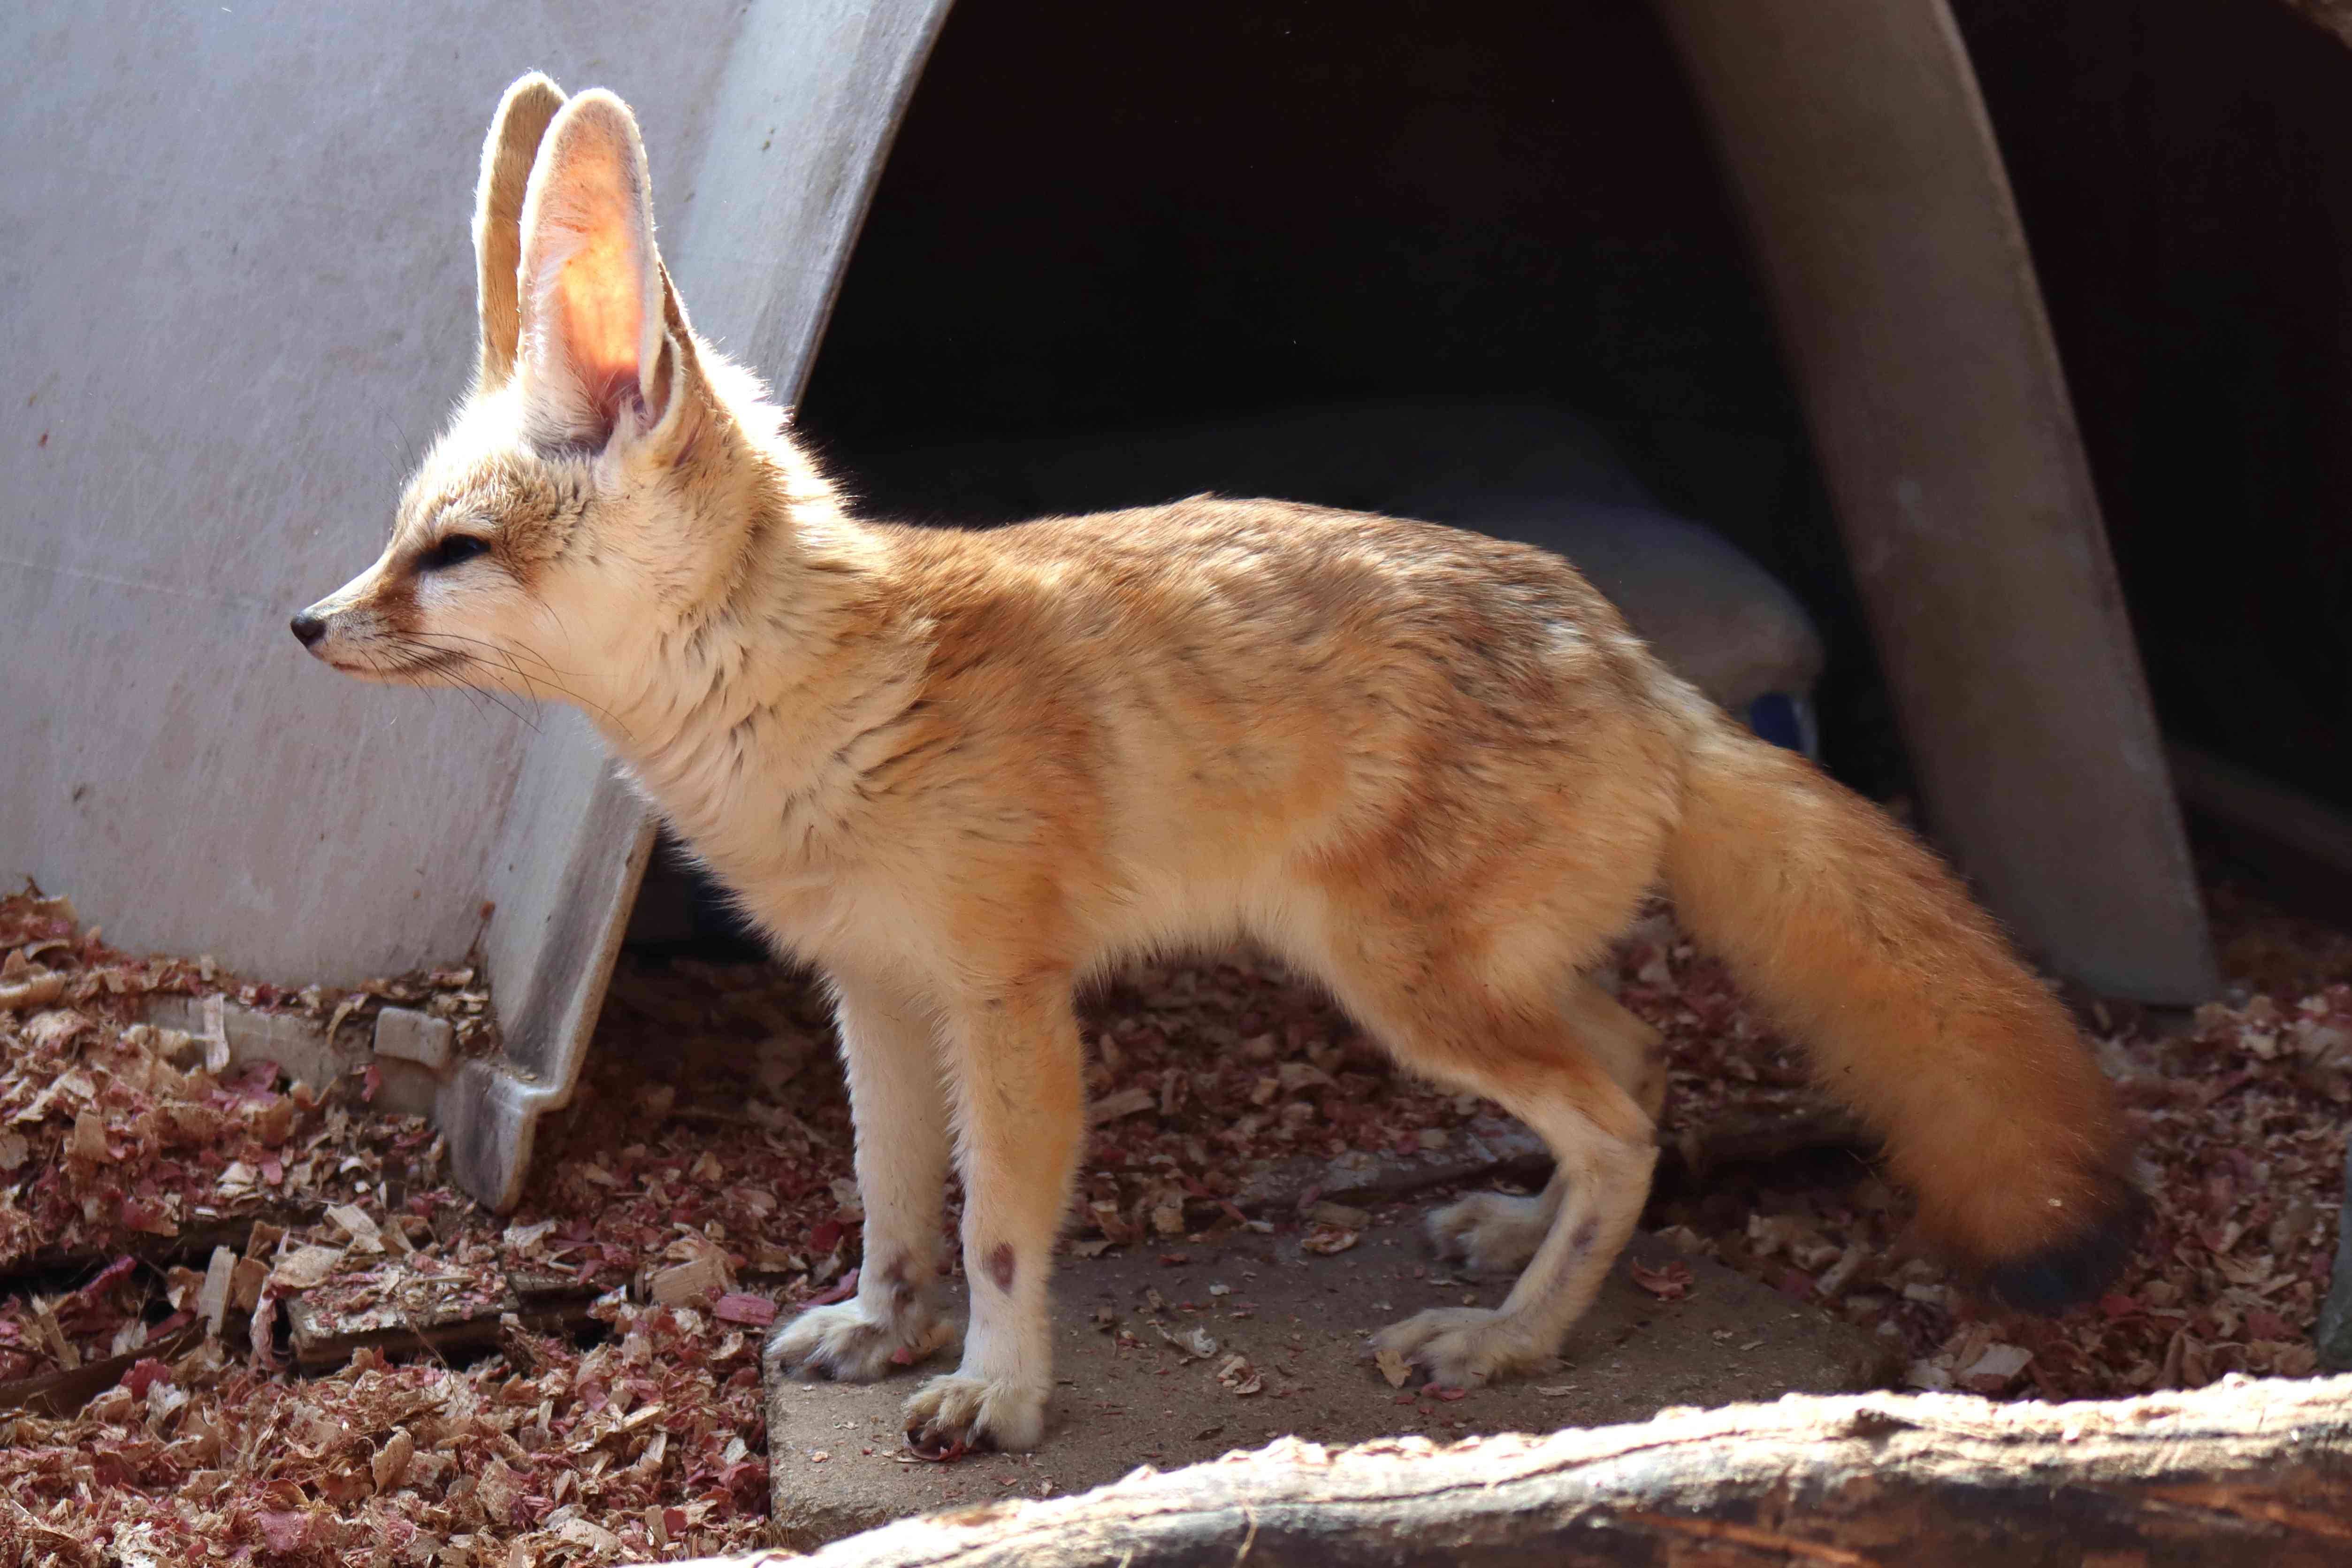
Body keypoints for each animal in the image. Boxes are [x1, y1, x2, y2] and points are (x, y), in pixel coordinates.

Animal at [298, 80, 2154, 1457]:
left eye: (452, 554)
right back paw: (1512, 1239)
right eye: (399, 534)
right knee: (1632, 1070)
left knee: (1625, 1117)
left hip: (1405, 993)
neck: (824, 695)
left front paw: (997, 1391)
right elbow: (893, 1201)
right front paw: (884, 1330)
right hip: (1462, 986)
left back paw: (1505, 1339)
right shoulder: (872, 994)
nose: (307, 623)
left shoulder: (1008, 1001)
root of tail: (1636, 662)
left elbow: (997, 1225)